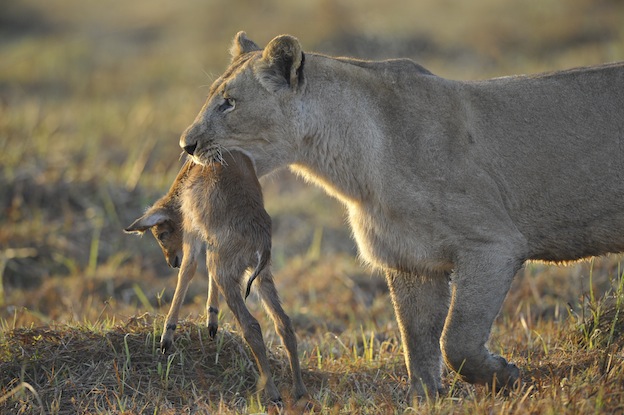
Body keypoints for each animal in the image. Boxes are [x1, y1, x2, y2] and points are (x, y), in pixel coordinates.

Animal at [125, 153, 308, 406]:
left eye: (161, 234)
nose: (171, 261)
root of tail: (261, 242)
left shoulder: (192, 231)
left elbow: (189, 269)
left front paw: (166, 337)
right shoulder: (211, 242)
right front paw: (211, 321)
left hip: (230, 277)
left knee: (252, 326)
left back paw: (272, 393)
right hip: (261, 277)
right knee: (284, 323)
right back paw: (299, 390)